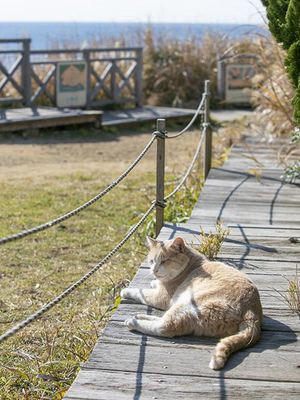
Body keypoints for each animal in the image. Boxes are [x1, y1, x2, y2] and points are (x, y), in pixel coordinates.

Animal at [120, 236, 262, 370]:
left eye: (164, 261)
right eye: (151, 261)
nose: (154, 270)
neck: (192, 264)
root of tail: (252, 313)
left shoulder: (160, 297)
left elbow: (140, 292)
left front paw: (125, 291)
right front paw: (154, 282)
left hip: (187, 304)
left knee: (165, 327)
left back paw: (133, 322)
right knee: (163, 320)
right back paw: (139, 316)